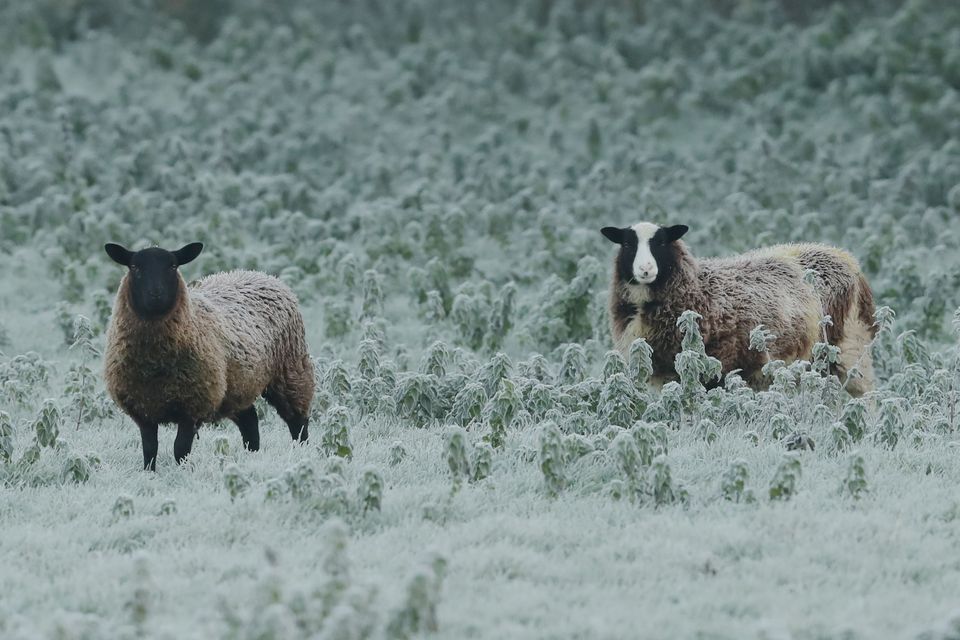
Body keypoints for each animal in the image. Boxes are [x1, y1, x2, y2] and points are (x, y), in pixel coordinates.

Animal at [104, 242, 316, 468]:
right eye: (134, 267)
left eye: (173, 266)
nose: (156, 295)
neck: (155, 366)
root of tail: (260, 274)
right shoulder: (143, 409)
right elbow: (150, 450)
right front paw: (149, 472)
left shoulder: (193, 406)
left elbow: (180, 449)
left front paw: (182, 471)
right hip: (237, 386)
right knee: (250, 419)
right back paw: (251, 455)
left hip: (291, 371)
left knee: (297, 422)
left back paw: (301, 454)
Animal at [600, 225, 876, 396]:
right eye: (627, 243)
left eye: (660, 242)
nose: (645, 270)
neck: (698, 288)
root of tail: (847, 258)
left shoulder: (721, 369)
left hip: (849, 349)